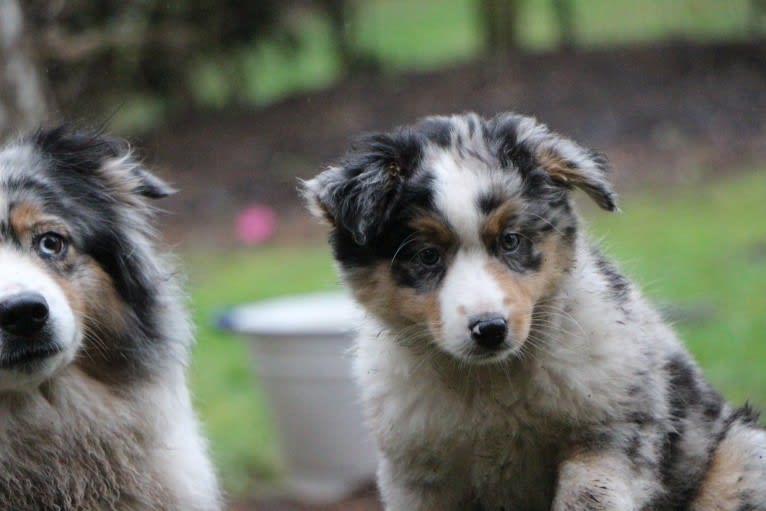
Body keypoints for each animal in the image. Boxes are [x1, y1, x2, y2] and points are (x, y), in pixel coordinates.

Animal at [304, 113, 766, 511]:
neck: (489, 384)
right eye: (426, 256)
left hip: (742, 455)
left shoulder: (613, 426)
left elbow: (588, 495)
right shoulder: (419, 472)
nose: (490, 329)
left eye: (510, 240)